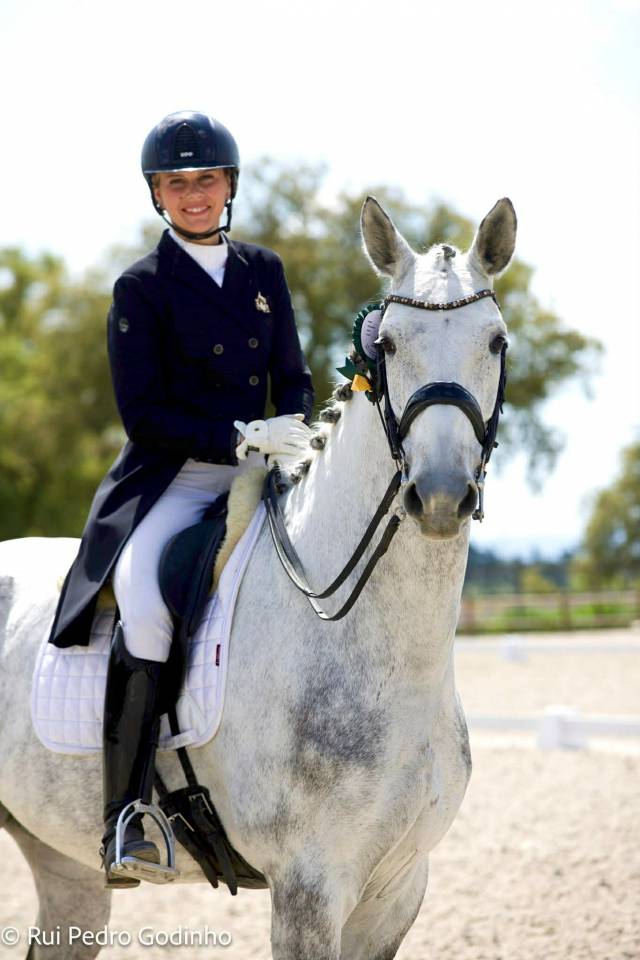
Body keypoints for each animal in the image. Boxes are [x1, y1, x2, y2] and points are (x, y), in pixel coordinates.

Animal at [0, 194, 516, 960]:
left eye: (496, 342)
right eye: (389, 345)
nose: (443, 496)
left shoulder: (397, 890)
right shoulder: (308, 889)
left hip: (63, 860)